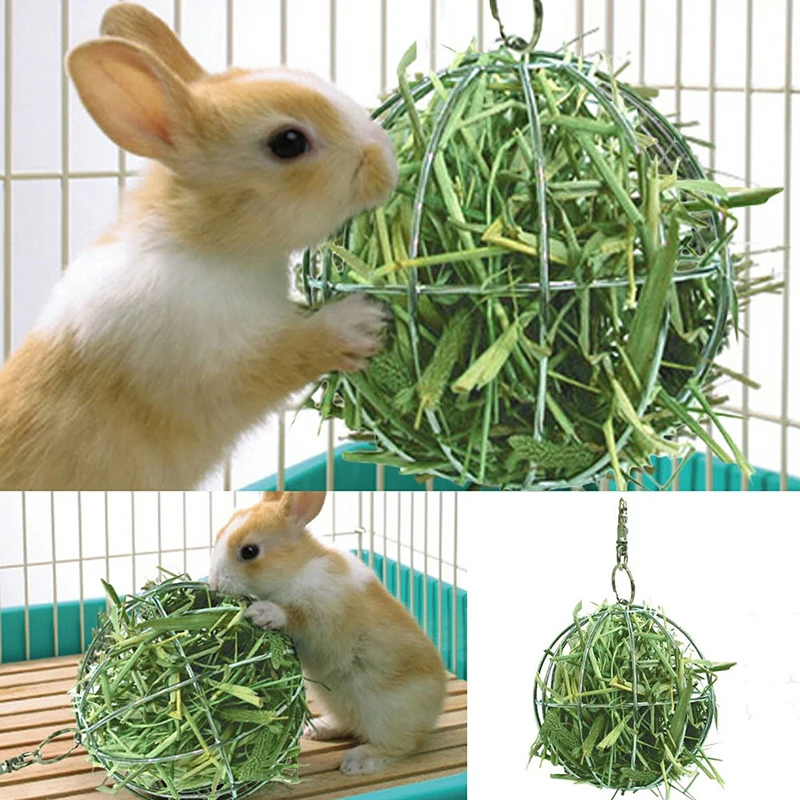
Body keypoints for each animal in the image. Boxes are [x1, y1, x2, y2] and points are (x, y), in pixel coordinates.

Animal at [0, 3, 397, 490]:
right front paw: (362, 321)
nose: (388, 159)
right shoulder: (215, 364)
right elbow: (288, 354)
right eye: (288, 142)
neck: (205, 246)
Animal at [208, 491, 448, 776]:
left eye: (249, 551)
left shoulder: (321, 614)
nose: (213, 583)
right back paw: (316, 730)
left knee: (401, 746)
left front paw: (261, 613)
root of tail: (435, 709)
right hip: (336, 701)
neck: (297, 568)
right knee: (349, 724)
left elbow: (294, 616)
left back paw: (356, 762)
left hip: (385, 714)